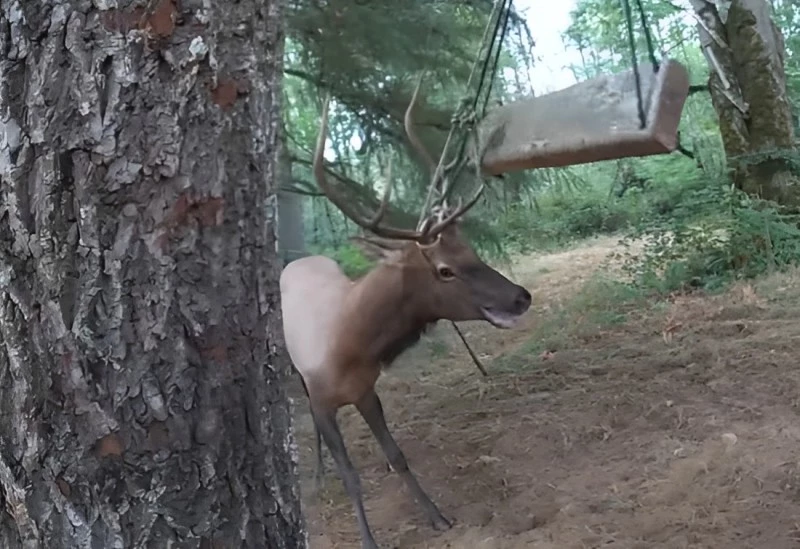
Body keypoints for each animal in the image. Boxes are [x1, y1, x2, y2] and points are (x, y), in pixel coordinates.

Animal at [278, 88, 536, 544]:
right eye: (444, 270)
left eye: (470, 249)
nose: (520, 297)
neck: (350, 347)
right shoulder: (322, 396)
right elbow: (351, 476)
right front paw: (367, 538)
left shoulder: (367, 390)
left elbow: (397, 455)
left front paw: (437, 515)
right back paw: (318, 473)